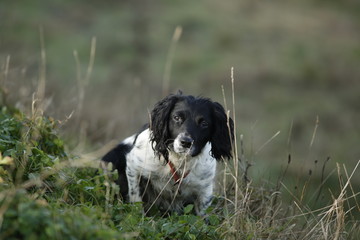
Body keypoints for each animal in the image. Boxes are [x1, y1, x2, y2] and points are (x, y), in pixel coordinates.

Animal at [102, 92, 235, 216]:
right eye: (177, 117)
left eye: (204, 123)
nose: (186, 142)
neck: (179, 161)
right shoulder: (133, 166)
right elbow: (136, 199)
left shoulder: (204, 187)